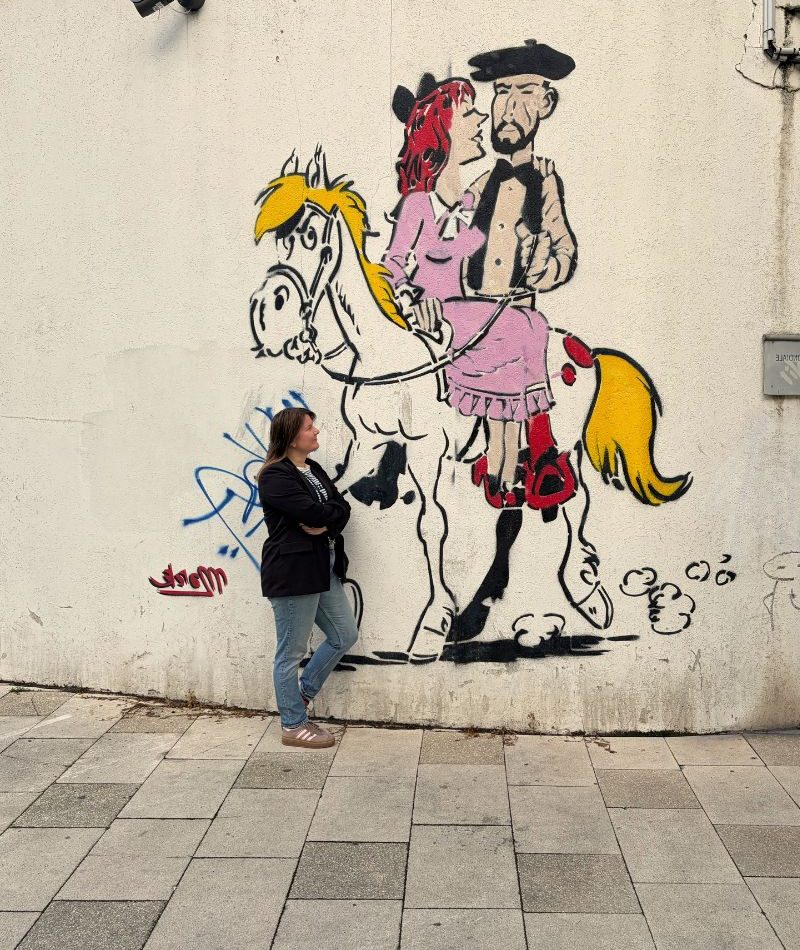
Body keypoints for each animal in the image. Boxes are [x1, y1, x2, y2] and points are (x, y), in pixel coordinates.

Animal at [248, 148, 690, 662]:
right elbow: (338, 493)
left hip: (565, 440)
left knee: (575, 496)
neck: (387, 354)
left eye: (312, 238)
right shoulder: (366, 442)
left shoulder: (425, 448)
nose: (267, 314)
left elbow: (431, 525)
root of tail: (583, 348)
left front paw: (432, 625)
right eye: (278, 241)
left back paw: (585, 592)